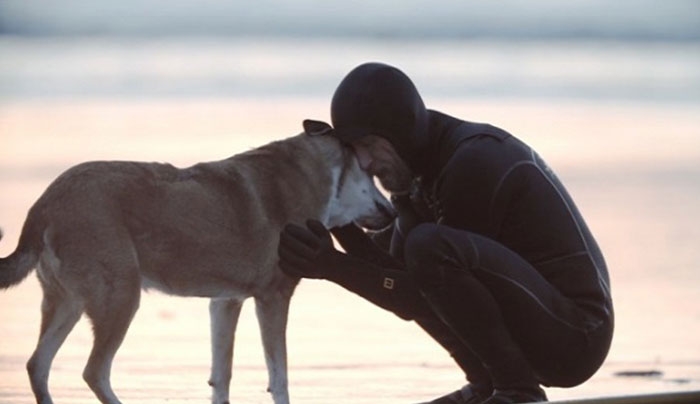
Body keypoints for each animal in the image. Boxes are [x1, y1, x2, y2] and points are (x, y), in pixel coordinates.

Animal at [0, 120, 394, 404]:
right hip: (120, 297)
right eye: (372, 174)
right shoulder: (273, 298)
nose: (393, 213)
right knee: (94, 371)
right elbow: (279, 377)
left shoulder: (225, 302)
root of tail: (45, 203)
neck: (315, 174)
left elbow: (222, 377)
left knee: (38, 366)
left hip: (67, 302)